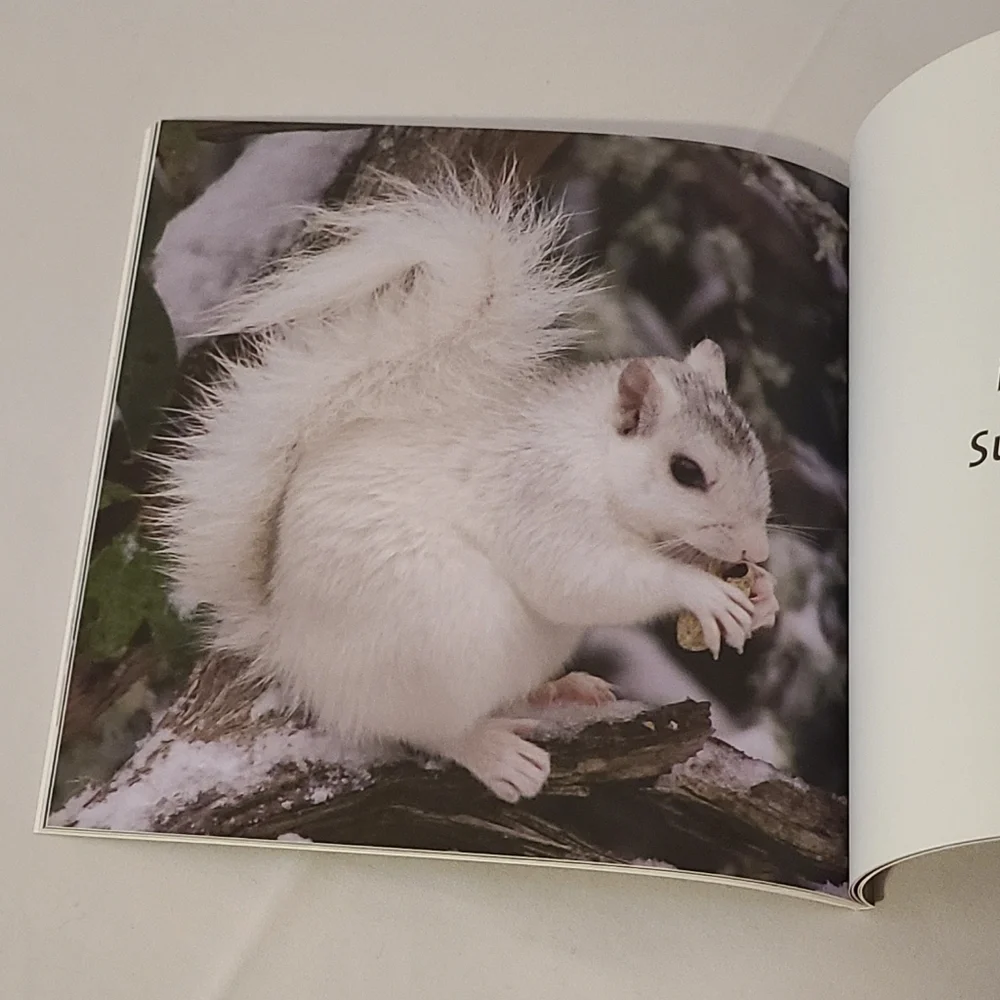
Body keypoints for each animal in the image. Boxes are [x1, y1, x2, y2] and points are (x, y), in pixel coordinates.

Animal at [152, 168, 776, 803]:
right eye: (686, 471)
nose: (758, 550)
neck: (593, 458)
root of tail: (290, 645)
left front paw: (764, 595)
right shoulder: (541, 501)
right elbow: (584, 578)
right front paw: (703, 593)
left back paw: (560, 689)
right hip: (438, 642)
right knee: (423, 728)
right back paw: (492, 752)